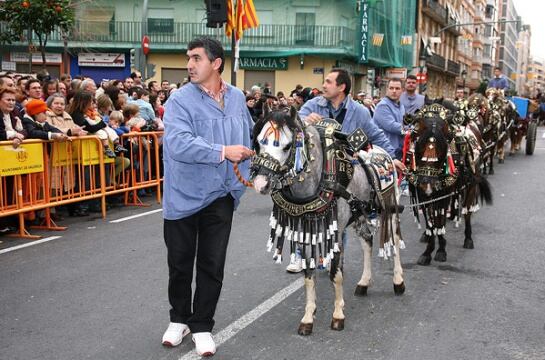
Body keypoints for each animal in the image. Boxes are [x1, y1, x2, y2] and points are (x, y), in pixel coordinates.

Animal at [249, 106, 406, 334]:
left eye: (287, 146)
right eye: (260, 142)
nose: (261, 183)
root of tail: (383, 153)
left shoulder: (336, 231)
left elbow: (335, 273)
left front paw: (338, 315)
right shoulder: (306, 232)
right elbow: (308, 273)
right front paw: (308, 317)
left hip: (389, 210)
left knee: (393, 242)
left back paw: (398, 281)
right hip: (360, 214)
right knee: (367, 243)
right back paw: (364, 283)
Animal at [404, 101, 492, 264]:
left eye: (445, 140)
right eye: (418, 138)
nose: (427, 182)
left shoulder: (443, 194)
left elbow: (439, 221)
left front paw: (440, 250)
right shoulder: (423, 193)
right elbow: (430, 223)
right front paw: (428, 251)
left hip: (471, 186)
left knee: (467, 212)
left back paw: (468, 238)